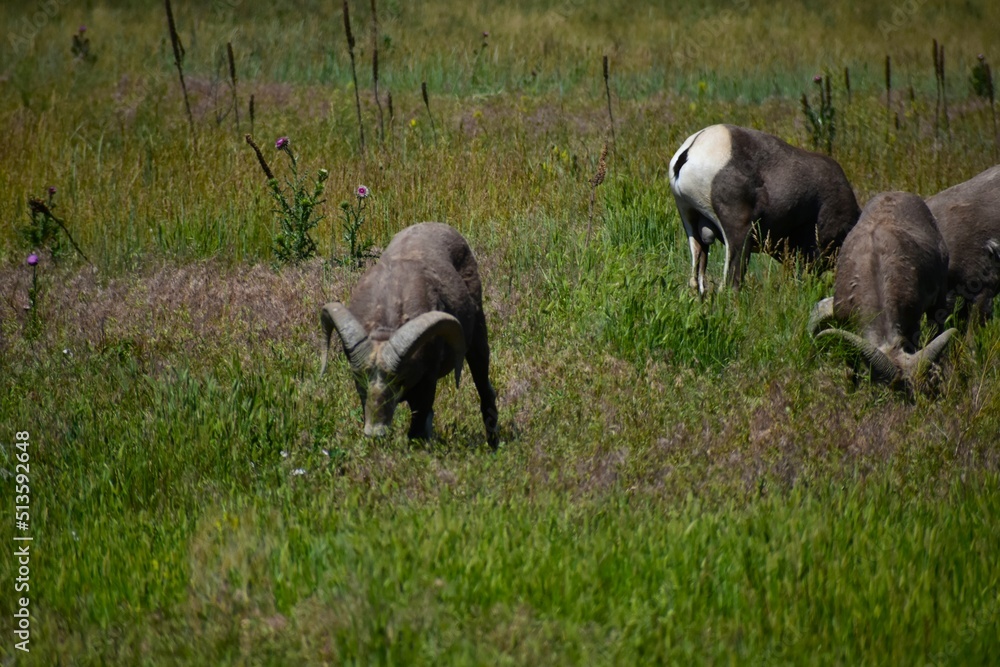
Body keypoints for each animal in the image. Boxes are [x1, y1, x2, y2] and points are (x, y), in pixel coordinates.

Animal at [320, 222, 499, 448]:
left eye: (398, 379)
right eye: (360, 377)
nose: (375, 432)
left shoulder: (426, 386)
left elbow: (417, 432)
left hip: (478, 340)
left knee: (485, 391)